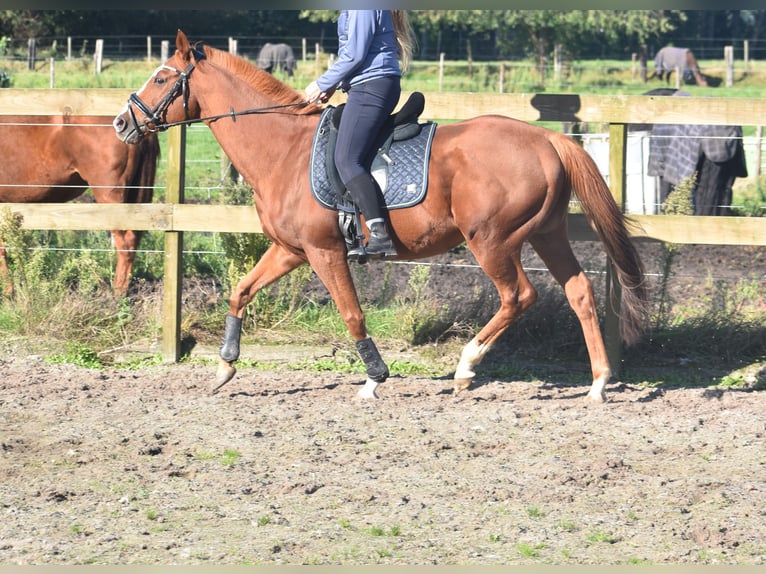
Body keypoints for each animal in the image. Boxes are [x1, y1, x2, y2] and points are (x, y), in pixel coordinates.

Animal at [115, 28, 656, 404]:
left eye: (161, 78)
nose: (123, 122)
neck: (283, 149)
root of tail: (548, 138)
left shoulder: (324, 252)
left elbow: (352, 313)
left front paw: (374, 379)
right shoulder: (290, 250)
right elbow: (240, 290)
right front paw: (225, 366)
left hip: (491, 240)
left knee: (518, 296)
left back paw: (467, 366)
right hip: (547, 234)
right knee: (579, 290)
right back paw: (598, 383)